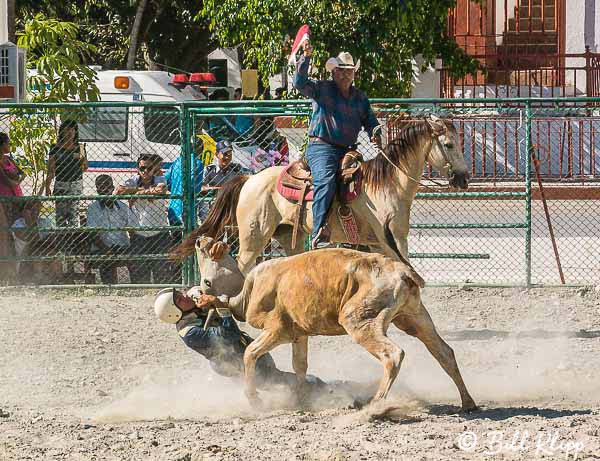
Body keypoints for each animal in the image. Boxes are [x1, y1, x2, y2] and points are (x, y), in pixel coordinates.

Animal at [173, 115, 468, 274]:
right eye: (449, 144)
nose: (463, 179)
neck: (386, 185)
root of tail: (249, 179)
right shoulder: (391, 239)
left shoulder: (377, 243)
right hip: (253, 237)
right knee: (243, 267)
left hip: (287, 236)